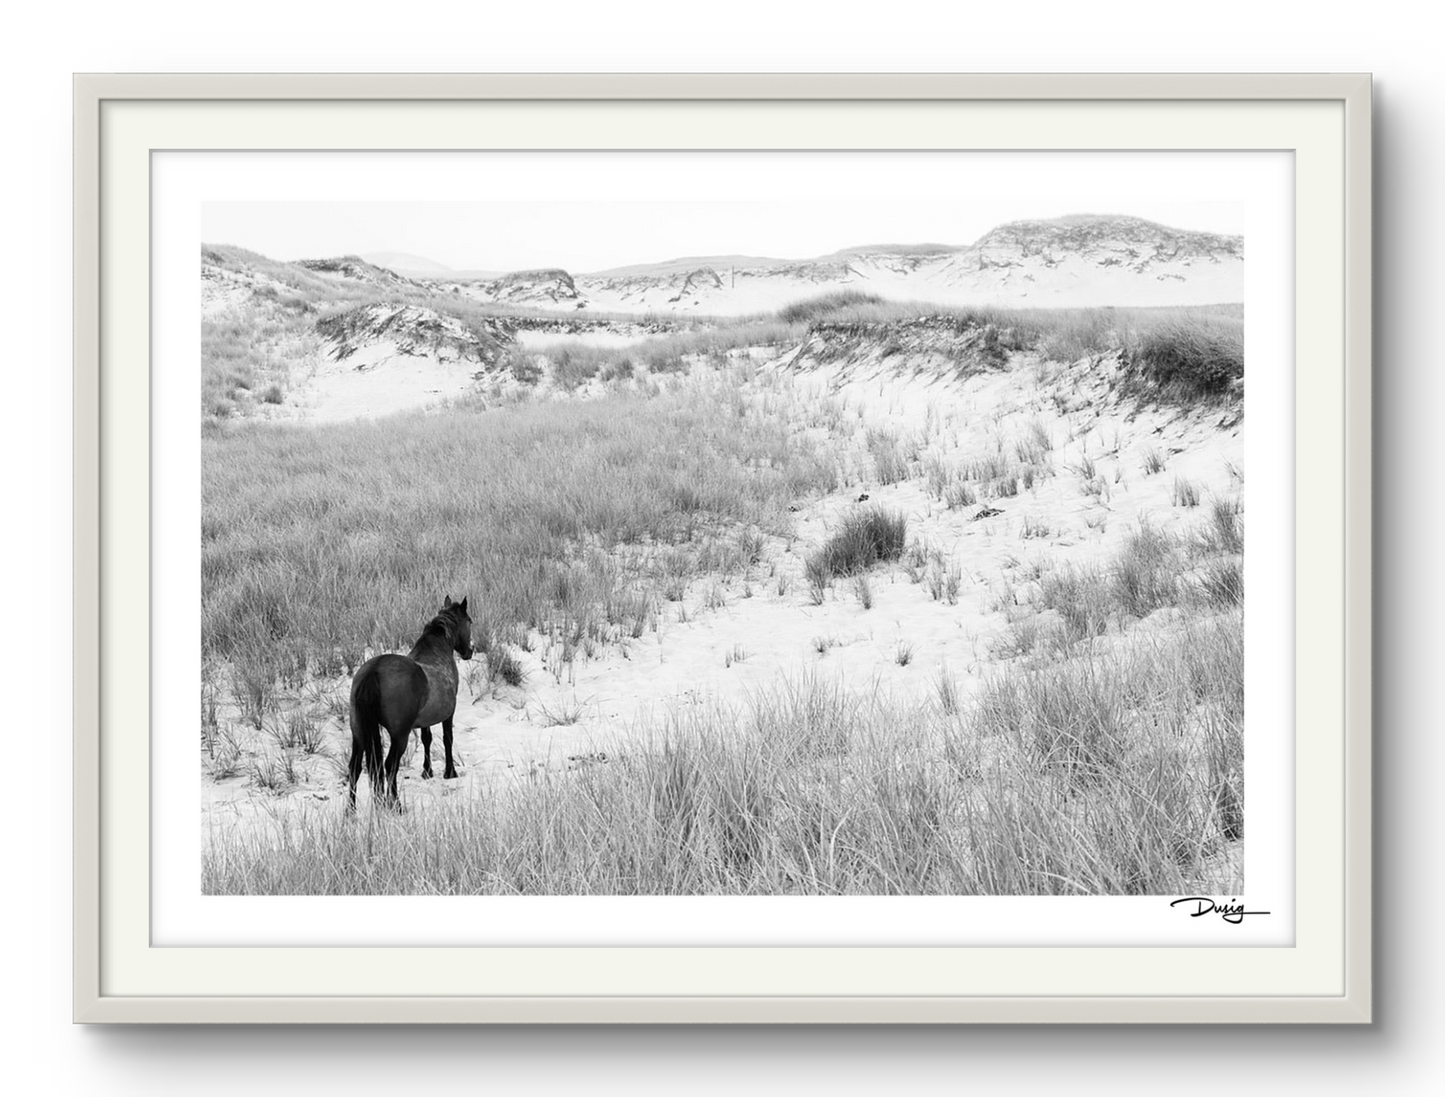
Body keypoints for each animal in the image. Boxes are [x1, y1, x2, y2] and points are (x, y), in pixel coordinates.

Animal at [346, 595, 476, 809]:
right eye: (469, 621)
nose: (470, 650)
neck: (436, 652)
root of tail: (374, 671)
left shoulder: (424, 720)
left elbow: (426, 738)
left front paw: (427, 771)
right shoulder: (448, 713)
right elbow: (447, 738)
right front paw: (450, 772)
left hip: (358, 733)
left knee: (355, 768)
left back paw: (351, 811)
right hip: (399, 736)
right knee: (390, 765)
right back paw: (396, 805)